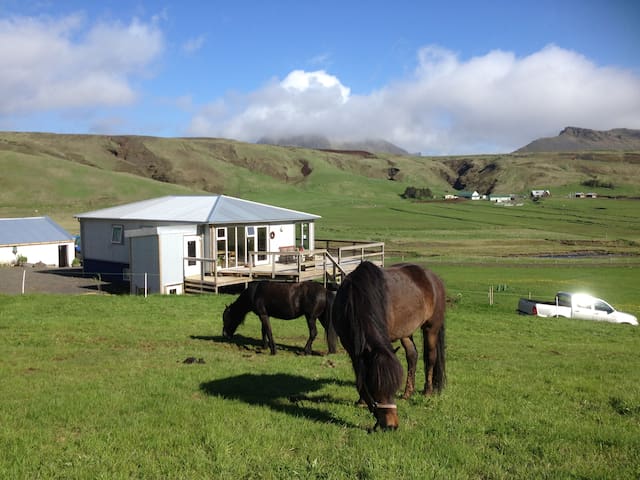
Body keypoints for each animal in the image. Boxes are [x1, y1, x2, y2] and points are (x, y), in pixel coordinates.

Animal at [332, 260, 448, 430]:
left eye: (393, 388)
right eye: (374, 388)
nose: (391, 425)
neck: (355, 298)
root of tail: (434, 278)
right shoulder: (351, 348)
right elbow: (360, 373)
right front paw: (361, 400)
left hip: (431, 328)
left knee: (430, 358)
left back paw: (427, 391)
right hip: (406, 332)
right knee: (412, 355)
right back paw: (407, 393)